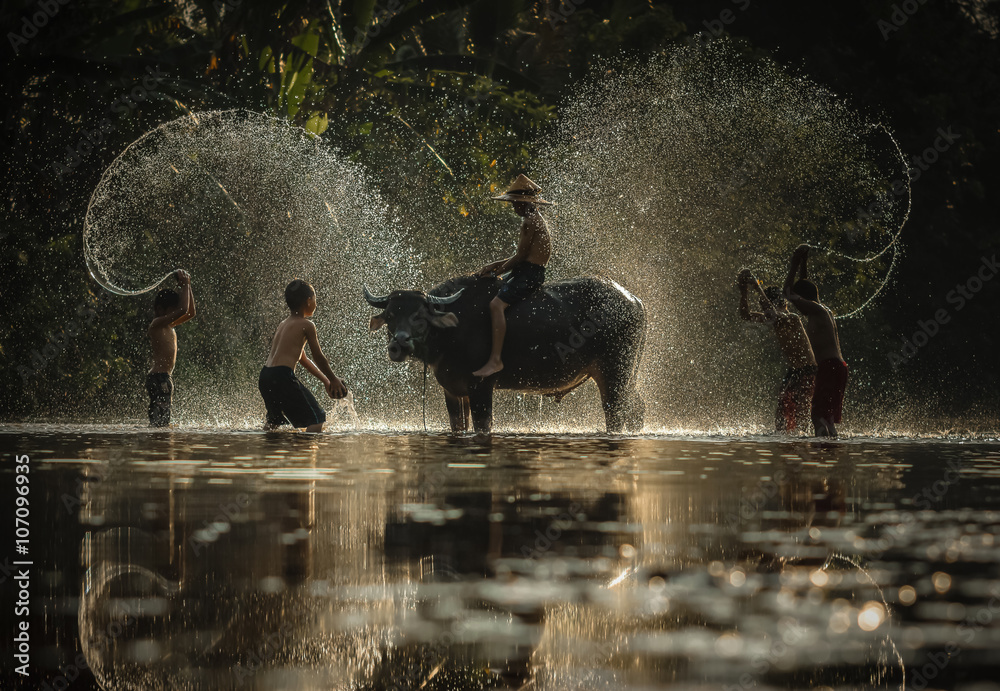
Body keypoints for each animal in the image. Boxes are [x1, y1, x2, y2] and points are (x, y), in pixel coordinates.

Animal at [364, 274, 644, 432]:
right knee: (636, 410)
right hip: (630, 378)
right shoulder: (452, 391)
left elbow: (483, 424)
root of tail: (635, 301)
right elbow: (458, 425)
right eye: (390, 315)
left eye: (420, 317)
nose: (398, 344)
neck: (453, 331)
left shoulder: (481, 386)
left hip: (614, 374)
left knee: (615, 413)